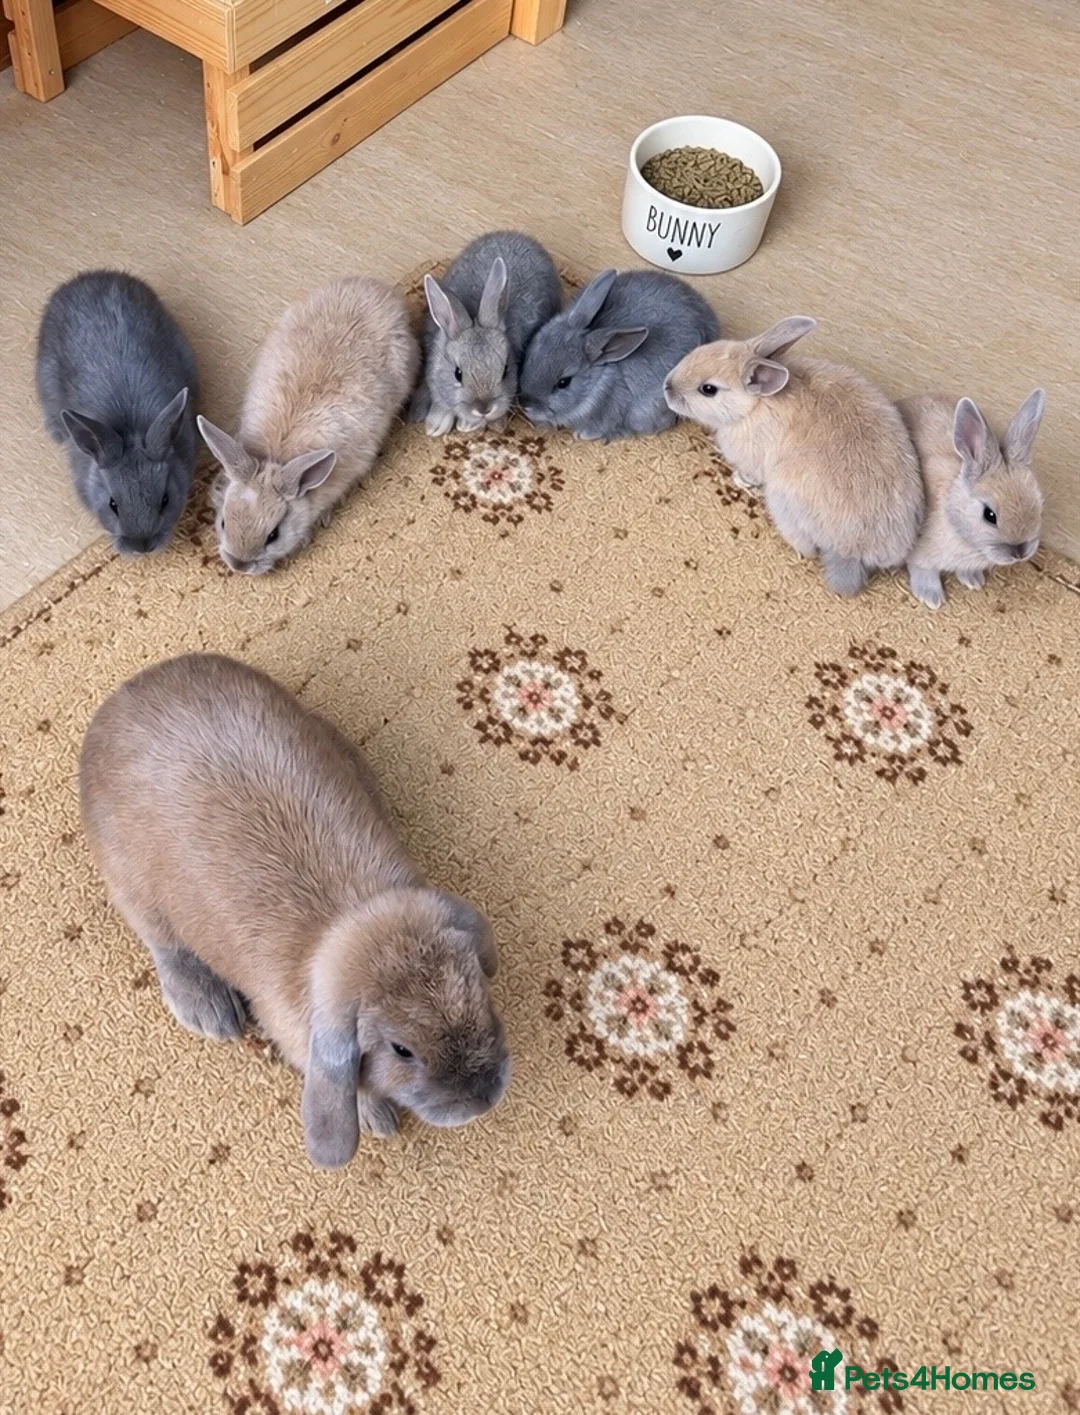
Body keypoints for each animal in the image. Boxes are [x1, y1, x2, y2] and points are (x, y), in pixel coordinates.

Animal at [80, 653, 509, 1170]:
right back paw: (209, 1010)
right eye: (401, 1050)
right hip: (129, 880)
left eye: (476, 989)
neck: (351, 920)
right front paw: (376, 1117)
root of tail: (124, 696)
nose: (482, 1097)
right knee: (161, 940)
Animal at [412, 230, 562, 436]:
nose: (484, 408)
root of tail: (523, 237)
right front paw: (435, 425)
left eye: (506, 371)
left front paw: (467, 425)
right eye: (458, 374)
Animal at [664, 318, 925, 596]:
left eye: (708, 389)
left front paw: (739, 480)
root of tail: (855, 553)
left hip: (782, 502)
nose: (667, 387)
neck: (753, 405)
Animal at [898, 391, 1045, 608]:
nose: (1020, 553)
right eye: (989, 515)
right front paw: (931, 598)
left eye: (1039, 505)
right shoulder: (920, 554)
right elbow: (924, 571)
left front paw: (974, 581)